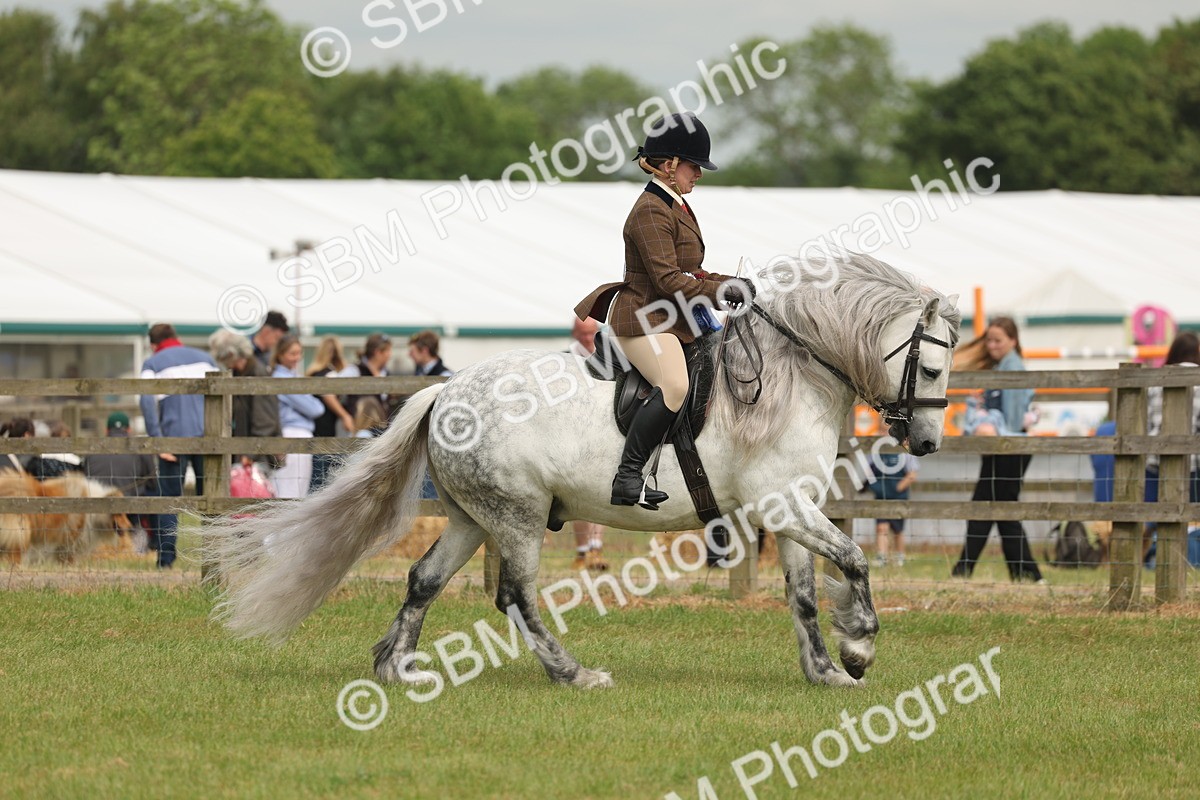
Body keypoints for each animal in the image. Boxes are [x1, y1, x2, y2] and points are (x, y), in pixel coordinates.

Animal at [204, 252, 960, 689]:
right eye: (930, 366)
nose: (924, 441)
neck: (791, 377)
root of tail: (443, 392)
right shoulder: (785, 506)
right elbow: (855, 560)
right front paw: (860, 650)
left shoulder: (790, 507)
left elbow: (803, 593)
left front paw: (826, 672)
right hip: (518, 516)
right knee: (516, 596)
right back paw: (572, 673)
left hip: (473, 517)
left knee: (424, 579)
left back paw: (397, 667)